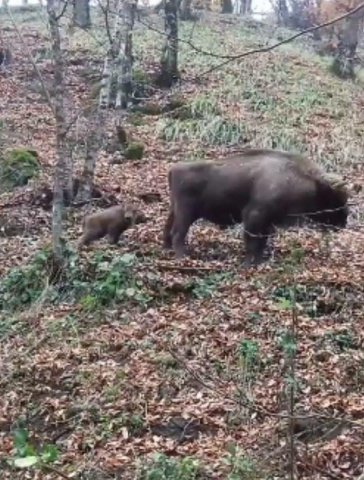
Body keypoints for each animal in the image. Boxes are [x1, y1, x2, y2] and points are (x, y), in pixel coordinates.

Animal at [163, 148, 350, 264]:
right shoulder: (254, 216)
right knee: (178, 233)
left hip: (175, 210)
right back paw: (182, 257)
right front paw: (248, 264)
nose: (344, 221)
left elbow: (261, 243)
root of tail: (174, 169)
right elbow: (252, 242)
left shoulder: (267, 222)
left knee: (168, 229)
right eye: (335, 198)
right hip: (186, 213)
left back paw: (166, 249)